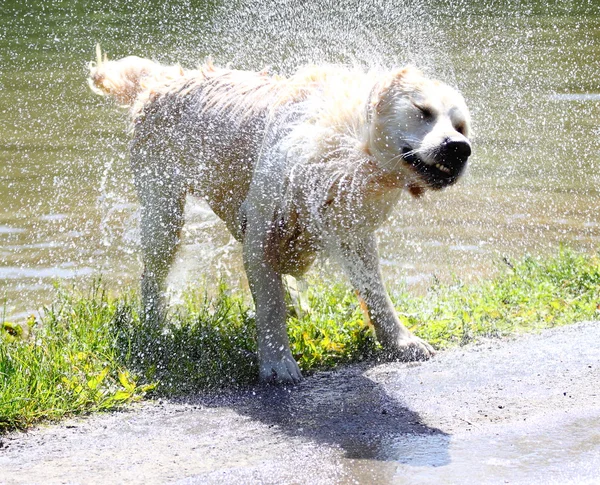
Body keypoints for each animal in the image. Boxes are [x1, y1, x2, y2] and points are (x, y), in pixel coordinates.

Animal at [90, 47, 474, 384]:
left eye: (461, 126)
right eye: (422, 110)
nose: (459, 148)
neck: (351, 147)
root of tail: (164, 79)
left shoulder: (350, 225)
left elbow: (374, 290)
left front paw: (401, 341)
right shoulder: (264, 226)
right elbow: (269, 302)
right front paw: (277, 362)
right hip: (163, 206)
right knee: (153, 273)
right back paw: (155, 327)